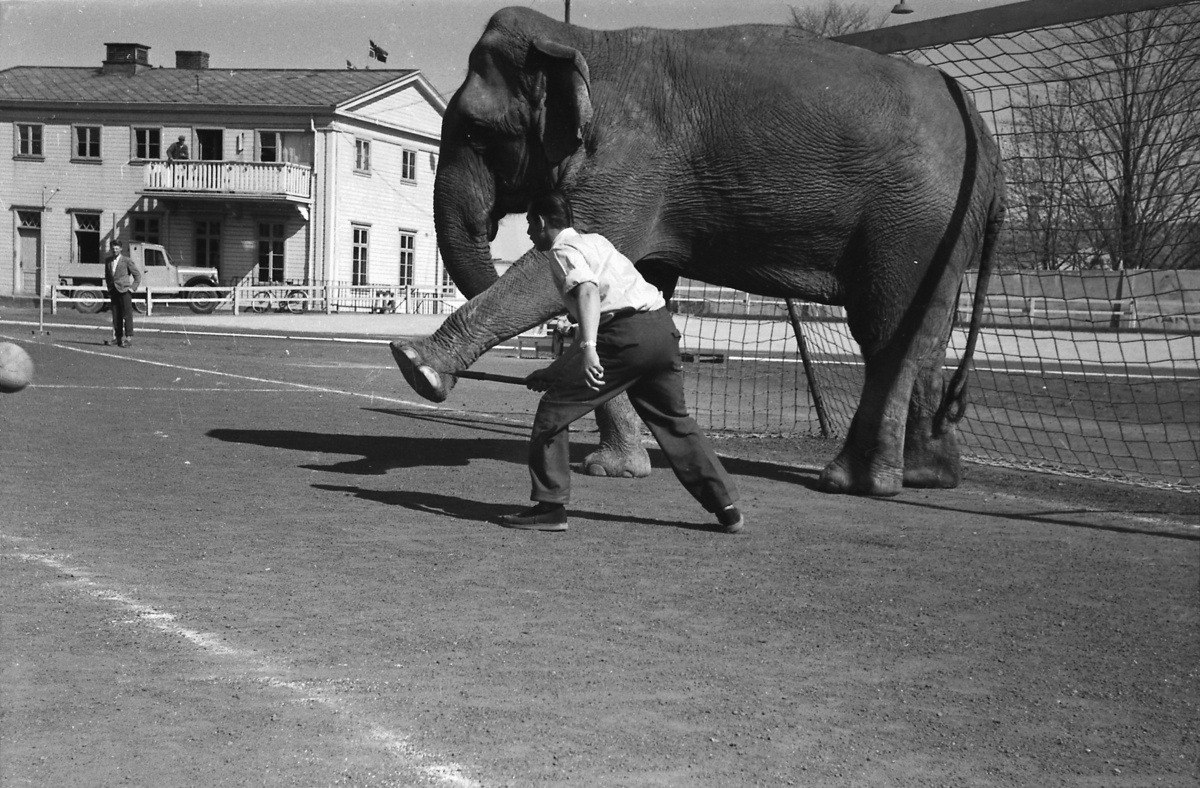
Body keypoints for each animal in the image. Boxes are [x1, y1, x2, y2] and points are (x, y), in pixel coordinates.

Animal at [393, 6, 1003, 494]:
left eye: (476, 132)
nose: (541, 367)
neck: (577, 38)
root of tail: (977, 120)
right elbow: (635, 292)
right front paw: (616, 470)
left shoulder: (630, 164)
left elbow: (560, 272)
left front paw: (416, 367)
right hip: (943, 225)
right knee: (930, 330)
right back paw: (929, 477)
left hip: (911, 216)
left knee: (887, 330)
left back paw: (853, 483)